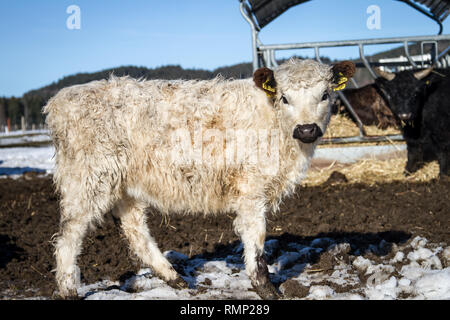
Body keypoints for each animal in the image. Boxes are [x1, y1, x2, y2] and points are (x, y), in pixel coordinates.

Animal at [44, 58, 356, 300]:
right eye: (285, 98)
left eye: (325, 95)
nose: (306, 129)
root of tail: (60, 100)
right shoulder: (251, 189)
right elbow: (256, 239)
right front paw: (266, 289)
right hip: (87, 181)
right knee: (68, 236)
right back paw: (69, 290)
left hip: (124, 187)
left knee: (135, 231)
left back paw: (174, 278)